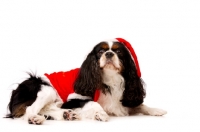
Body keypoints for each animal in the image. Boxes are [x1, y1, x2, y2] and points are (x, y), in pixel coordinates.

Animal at [5, 37, 166, 124]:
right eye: (101, 51)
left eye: (119, 51)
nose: (109, 54)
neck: (110, 80)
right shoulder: (74, 99)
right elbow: (93, 103)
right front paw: (101, 114)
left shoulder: (126, 99)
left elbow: (140, 105)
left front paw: (156, 110)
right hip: (46, 89)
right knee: (30, 110)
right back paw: (36, 118)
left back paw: (67, 115)